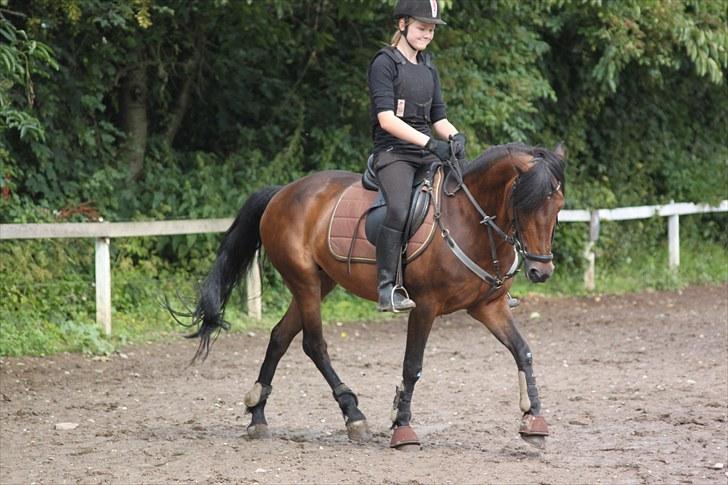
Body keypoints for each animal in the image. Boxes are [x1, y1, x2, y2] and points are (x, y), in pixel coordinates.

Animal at [173, 141, 564, 450]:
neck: (467, 218)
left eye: (558, 207)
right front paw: (402, 428)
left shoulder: (488, 306)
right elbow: (412, 365)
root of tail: (284, 192)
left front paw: (533, 422)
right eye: (525, 203)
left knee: (280, 336)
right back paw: (353, 415)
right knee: (313, 344)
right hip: (305, 282)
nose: (540, 272)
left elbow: (523, 351)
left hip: (320, 283)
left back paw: (257, 415)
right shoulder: (425, 306)